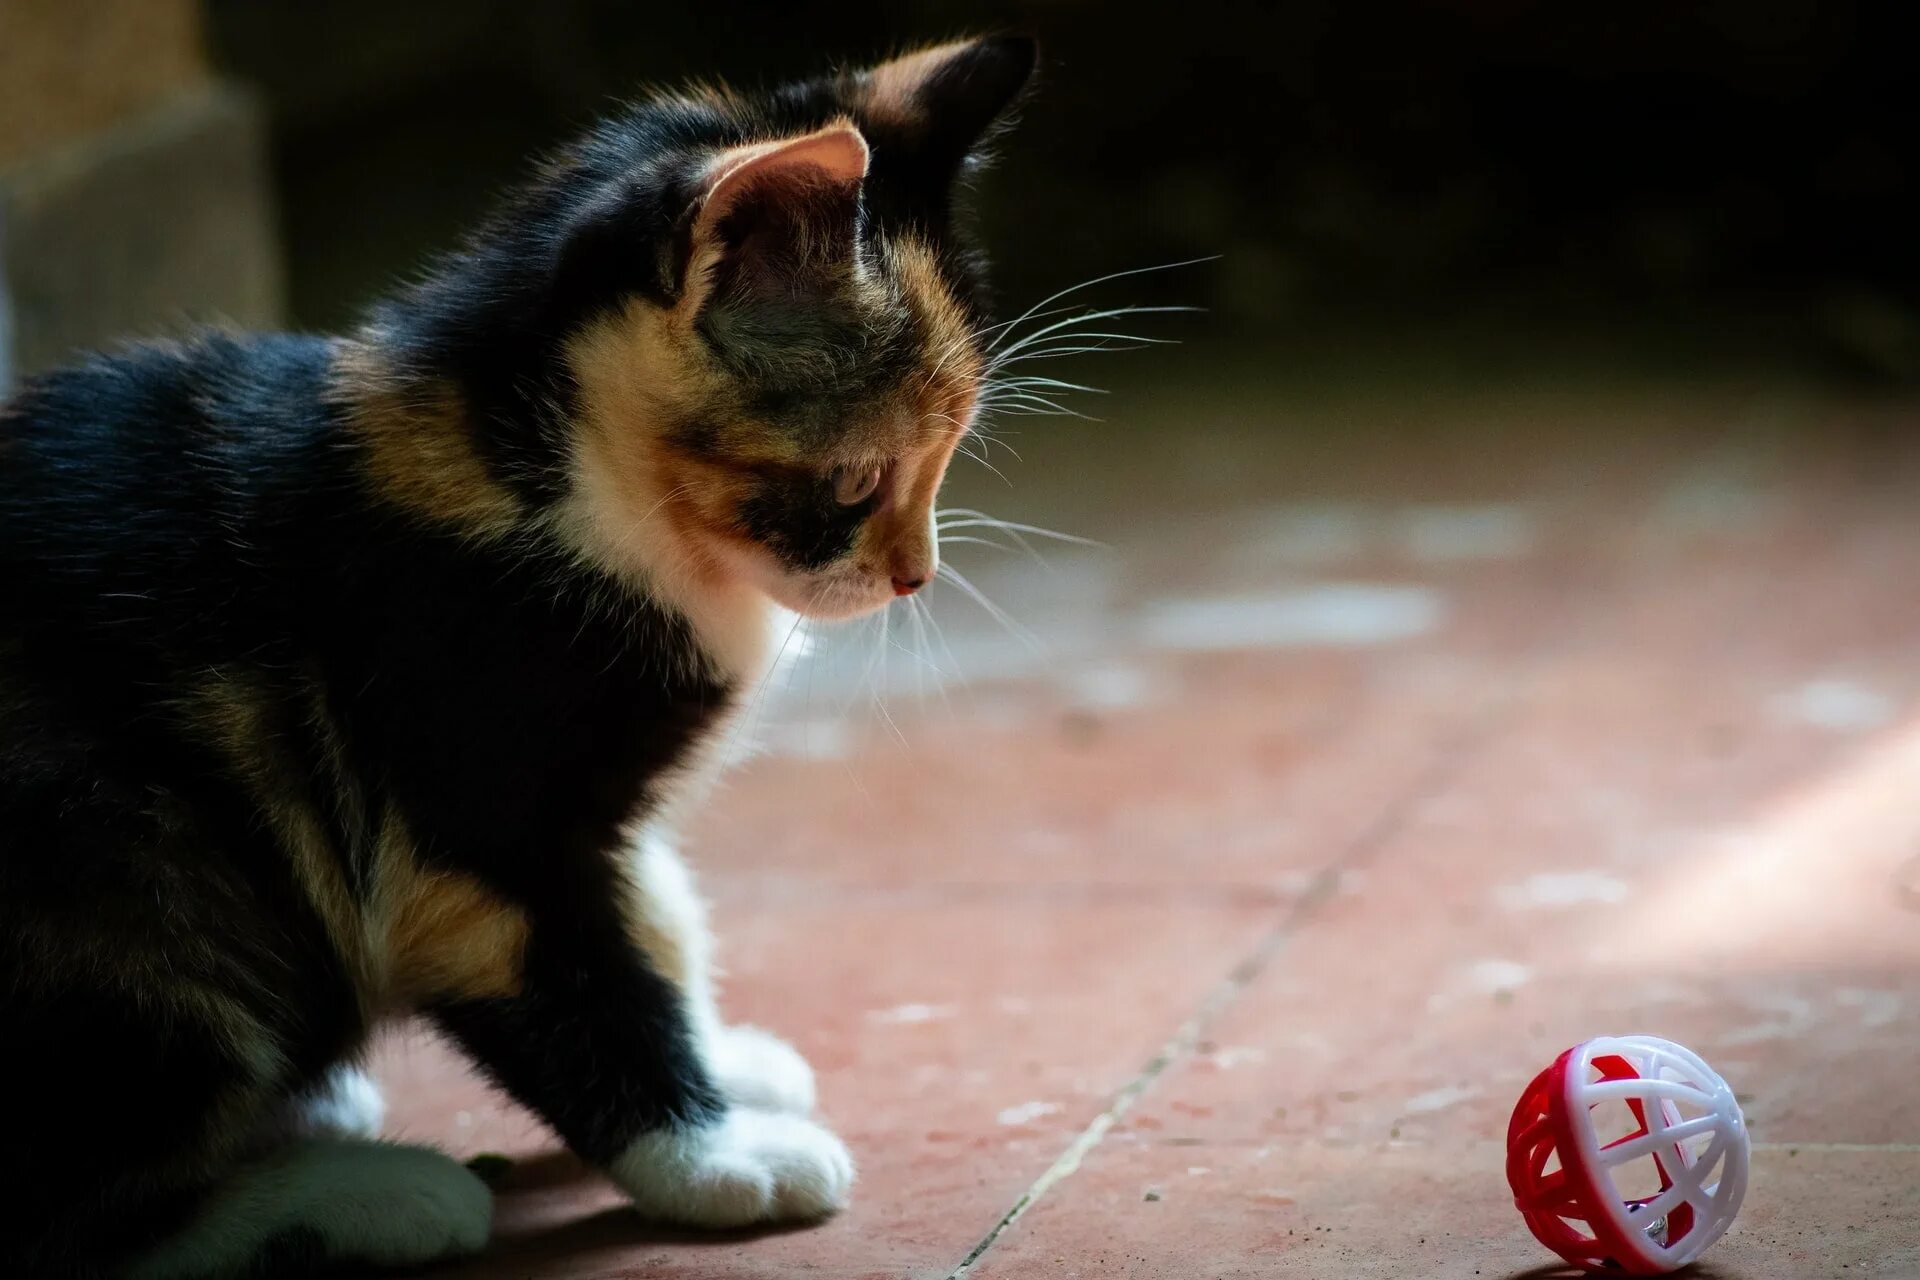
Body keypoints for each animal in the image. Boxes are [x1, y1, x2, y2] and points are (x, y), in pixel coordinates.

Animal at [0, 35, 1036, 1274]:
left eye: (947, 456)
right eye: (855, 478)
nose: (914, 575)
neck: (555, 475)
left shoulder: (599, 812)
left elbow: (653, 910)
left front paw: (722, 1061)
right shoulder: (467, 822)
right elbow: (580, 981)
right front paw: (712, 1153)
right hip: (131, 870)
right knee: (75, 1214)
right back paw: (362, 1189)